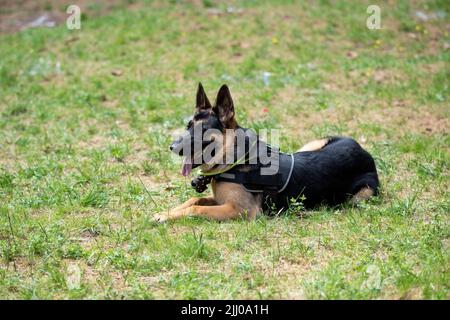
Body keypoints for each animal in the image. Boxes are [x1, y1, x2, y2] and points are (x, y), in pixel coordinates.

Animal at [152, 83, 380, 222]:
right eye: (188, 126)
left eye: (204, 130)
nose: (172, 147)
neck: (234, 160)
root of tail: (364, 152)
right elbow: (193, 200)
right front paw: (166, 212)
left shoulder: (240, 210)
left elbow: (197, 208)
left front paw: (166, 215)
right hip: (308, 146)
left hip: (361, 195)